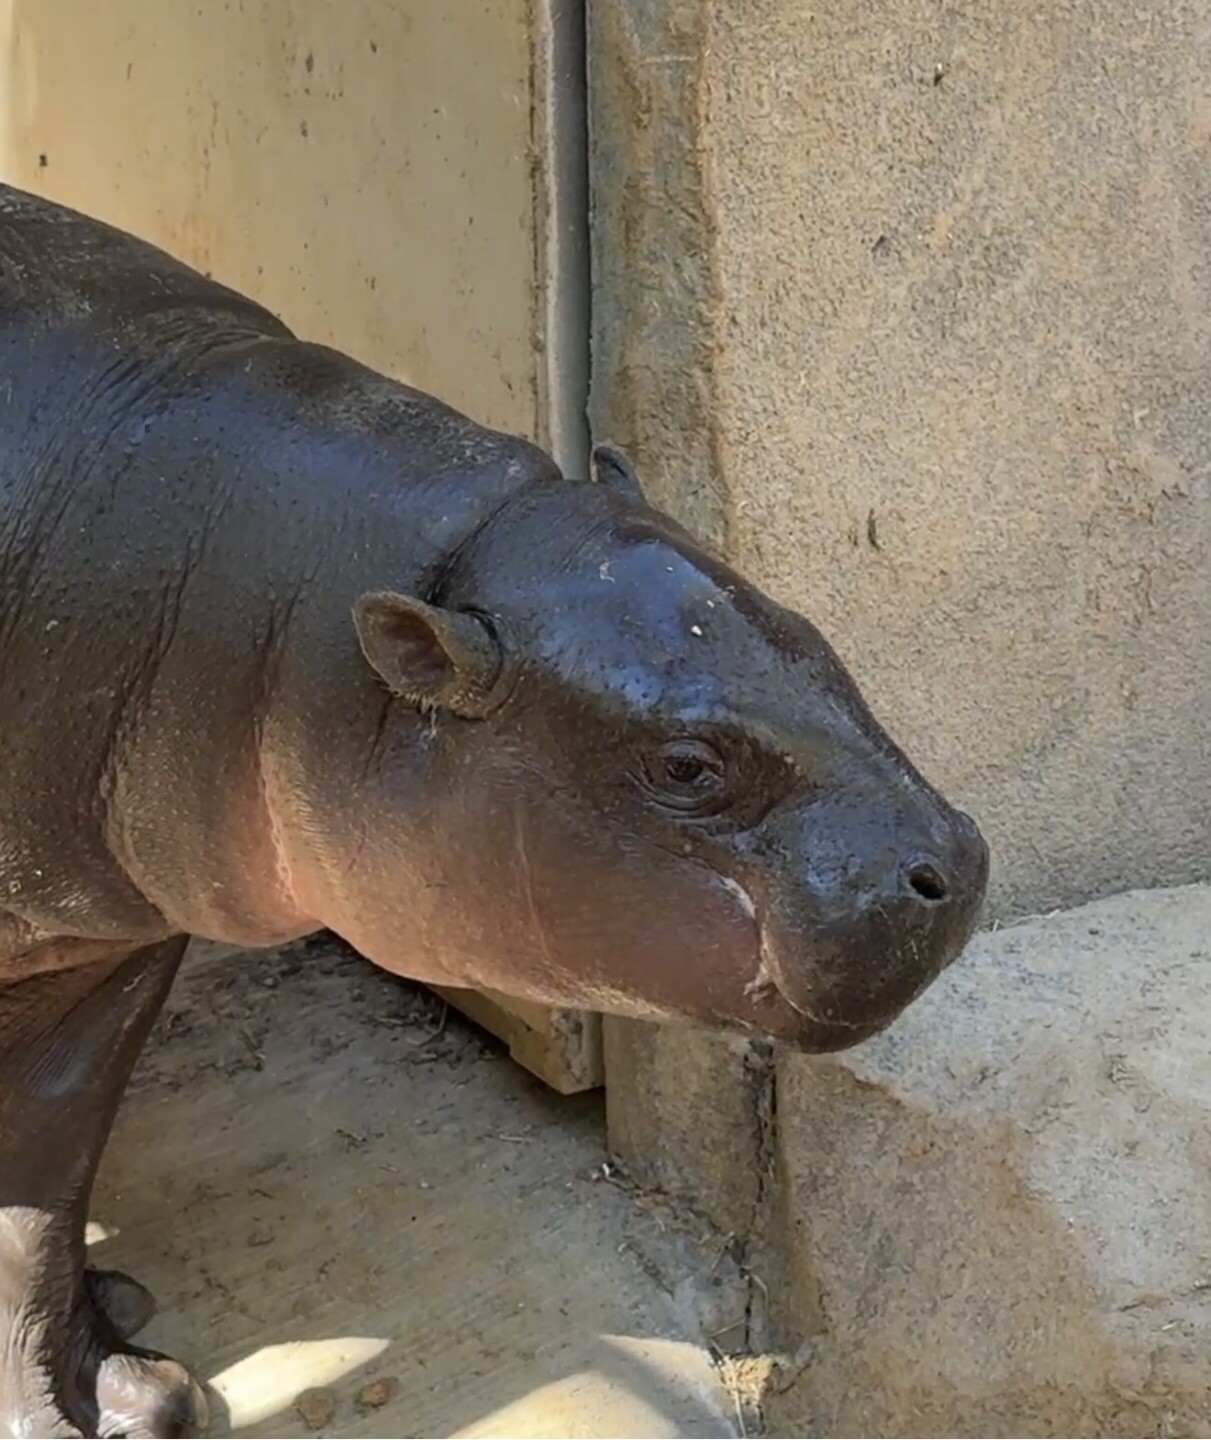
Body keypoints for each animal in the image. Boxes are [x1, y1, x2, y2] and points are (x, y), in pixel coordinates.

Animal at [0, 181, 989, 1437]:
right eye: (685, 768)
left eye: (808, 629)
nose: (949, 863)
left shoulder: (102, 944)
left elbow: (40, 1175)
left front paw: (127, 1398)